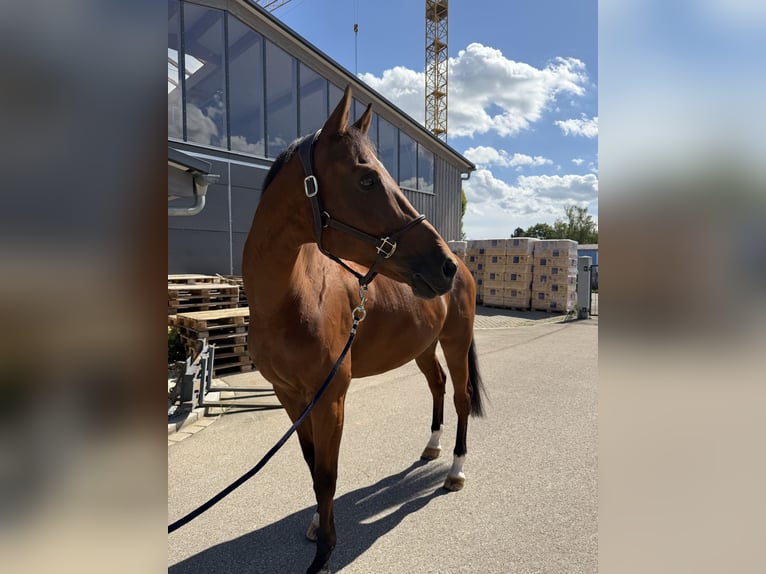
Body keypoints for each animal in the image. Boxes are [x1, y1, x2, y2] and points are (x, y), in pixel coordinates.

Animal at [242, 86, 484, 574]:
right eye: (368, 179)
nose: (443, 266)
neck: (292, 300)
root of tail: (466, 264)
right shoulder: (290, 396)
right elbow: (311, 464)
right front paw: (319, 526)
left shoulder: (331, 397)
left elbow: (327, 475)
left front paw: (324, 552)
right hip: (423, 347)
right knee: (437, 385)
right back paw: (431, 448)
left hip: (455, 342)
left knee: (461, 397)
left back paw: (454, 471)